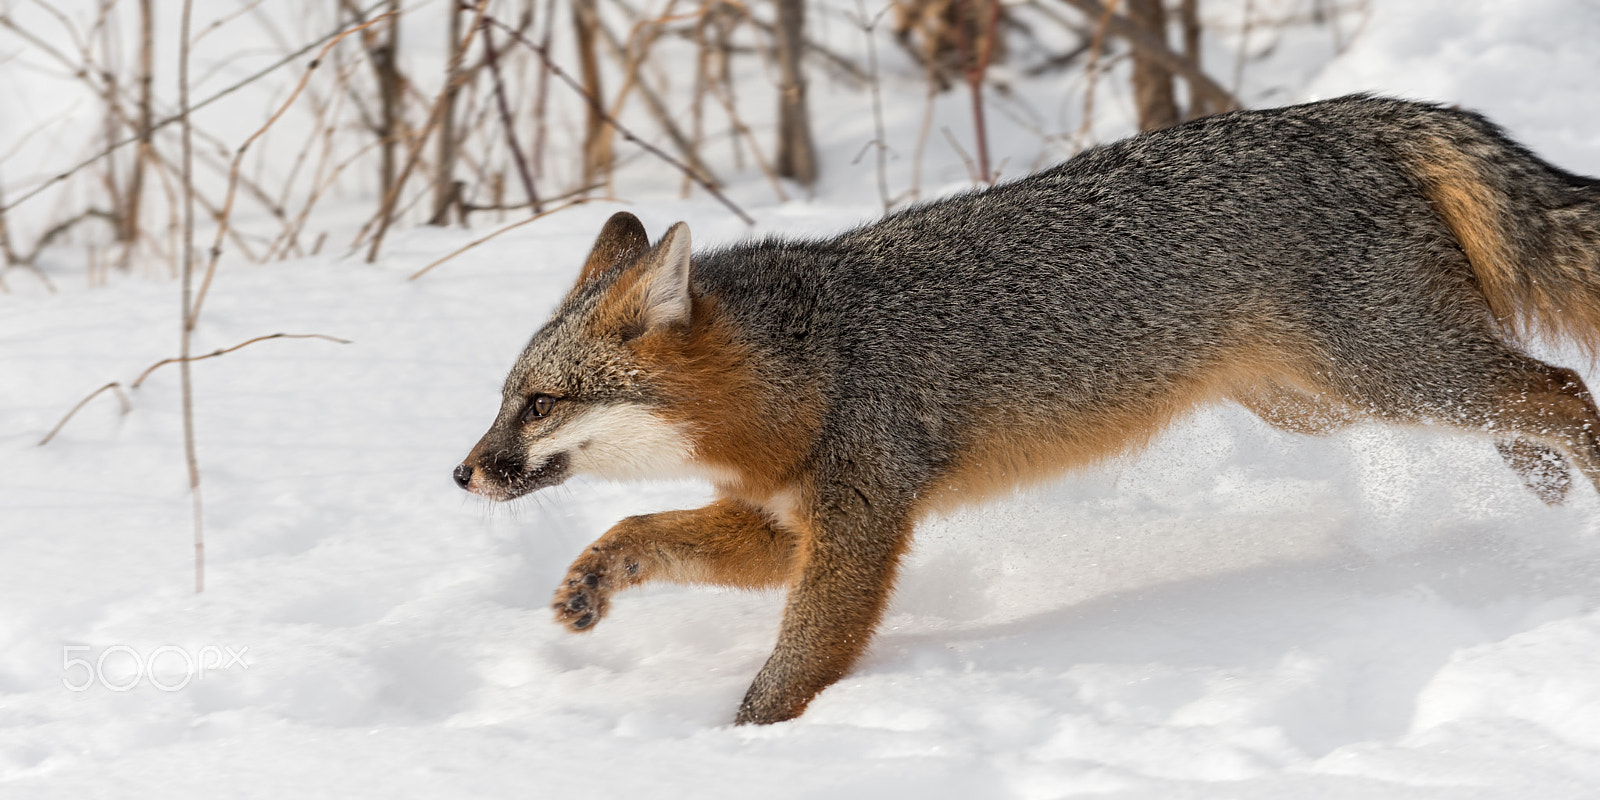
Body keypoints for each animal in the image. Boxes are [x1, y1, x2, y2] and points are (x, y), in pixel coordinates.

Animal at [454, 94, 1600, 725]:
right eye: (502, 400)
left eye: (539, 403)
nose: (461, 472)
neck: (815, 361)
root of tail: (1343, 113)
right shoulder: (781, 525)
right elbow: (636, 524)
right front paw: (589, 583)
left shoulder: (856, 532)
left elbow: (794, 664)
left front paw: (739, 743)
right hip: (1332, 404)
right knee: (1525, 412)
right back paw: (1542, 501)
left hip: (1393, 376)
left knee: (1565, 390)